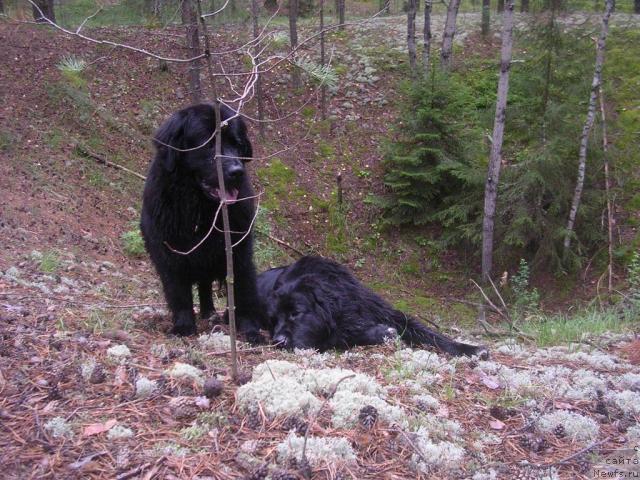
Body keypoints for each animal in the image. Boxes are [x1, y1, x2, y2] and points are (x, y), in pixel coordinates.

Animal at [142, 103, 264, 342]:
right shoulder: (169, 252)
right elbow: (178, 292)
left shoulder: (239, 251)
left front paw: (250, 330)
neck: (201, 210)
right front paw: (183, 326)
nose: (237, 171)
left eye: (237, 144)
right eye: (208, 145)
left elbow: (243, 290)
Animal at [258, 255, 488, 356]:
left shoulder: (379, 309)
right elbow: (343, 335)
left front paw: (470, 348)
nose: (277, 341)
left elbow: (425, 331)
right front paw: (381, 332)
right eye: (273, 321)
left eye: (296, 313)